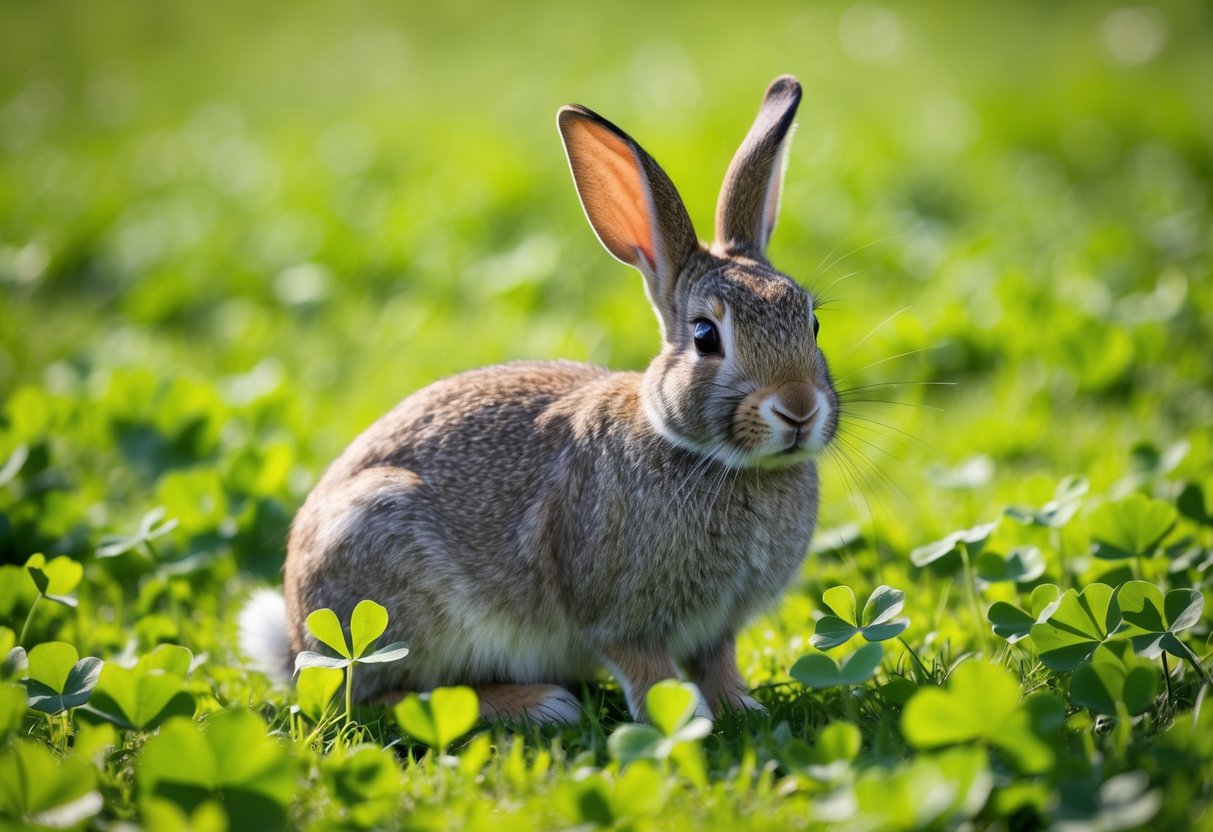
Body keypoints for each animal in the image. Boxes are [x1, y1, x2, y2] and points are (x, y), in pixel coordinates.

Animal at [239, 74, 839, 725]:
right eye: (706, 336)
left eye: (812, 323)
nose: (798, 409)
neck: (708, 455)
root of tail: (295, 639)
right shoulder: (617, 618)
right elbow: (647, 671)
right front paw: (684, 722)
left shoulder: (716, 629)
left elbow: (717, 663)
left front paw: (740, 708)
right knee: (376, 695)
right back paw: (539, 703)